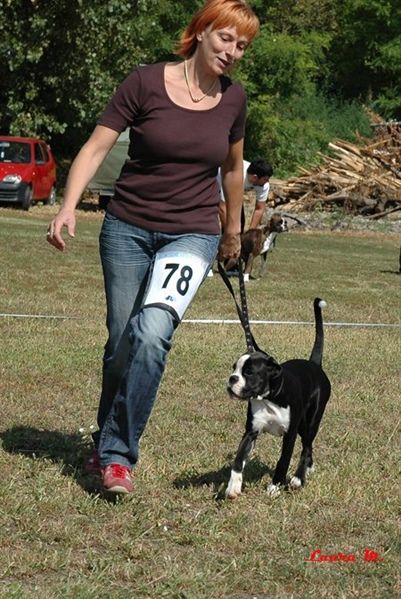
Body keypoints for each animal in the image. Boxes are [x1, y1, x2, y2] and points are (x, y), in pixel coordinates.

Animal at [225, 298, 332, 500]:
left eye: (249, 372)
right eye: (234, 368)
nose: (232, 379)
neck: (269, 397)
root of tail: (314, 364)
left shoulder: (290, 435)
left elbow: (283, 461)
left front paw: (275, 486)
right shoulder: (251, 432)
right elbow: (238, 459)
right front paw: (233, 486)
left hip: (309, 424)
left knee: (307, 446)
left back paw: (298, 478)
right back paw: (308, 469)